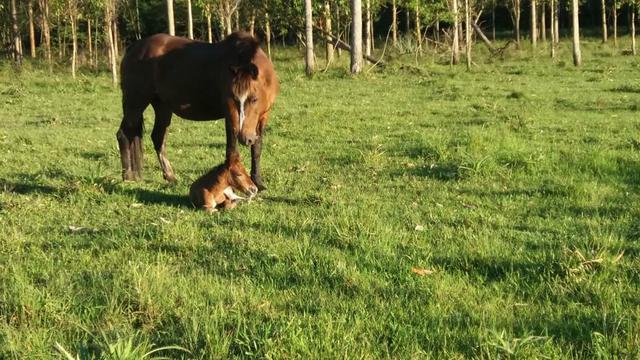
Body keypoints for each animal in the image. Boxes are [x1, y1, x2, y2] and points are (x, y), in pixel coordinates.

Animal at [117, 31, 278, 190]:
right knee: (124, 135)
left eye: (254, 99)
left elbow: (257, 149)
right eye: (233, 98)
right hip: (135, 104)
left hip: (162, 107)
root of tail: (134, 47)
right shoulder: (230, 115)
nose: (245, 138)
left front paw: (258, 182)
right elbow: (232, 149)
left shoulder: (263, 117)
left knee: (158, 137)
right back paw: (128, 176)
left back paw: (170, 176)